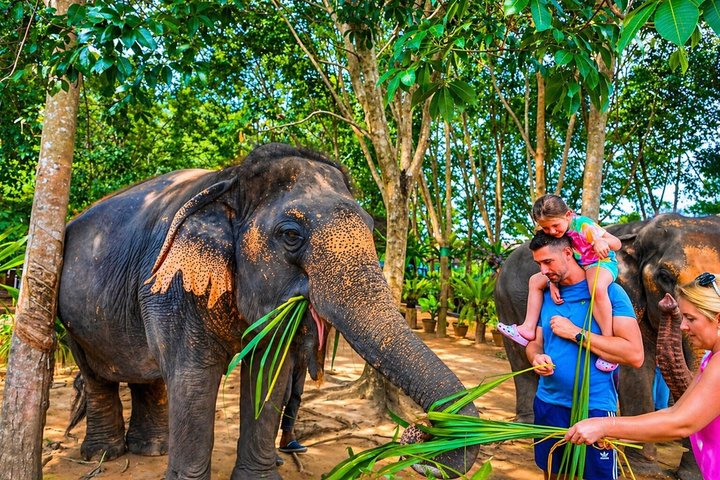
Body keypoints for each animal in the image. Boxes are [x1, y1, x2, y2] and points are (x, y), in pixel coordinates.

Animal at [58, 143, 479, 480]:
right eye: (291, 235)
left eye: (371, 226)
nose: (422, 440)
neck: (230, 177)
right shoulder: (173, 284)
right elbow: (194, 376)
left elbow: (268, 373)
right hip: (67, 313)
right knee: (96, 375)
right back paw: (101, 454)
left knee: (147, 375)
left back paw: (151, 449)